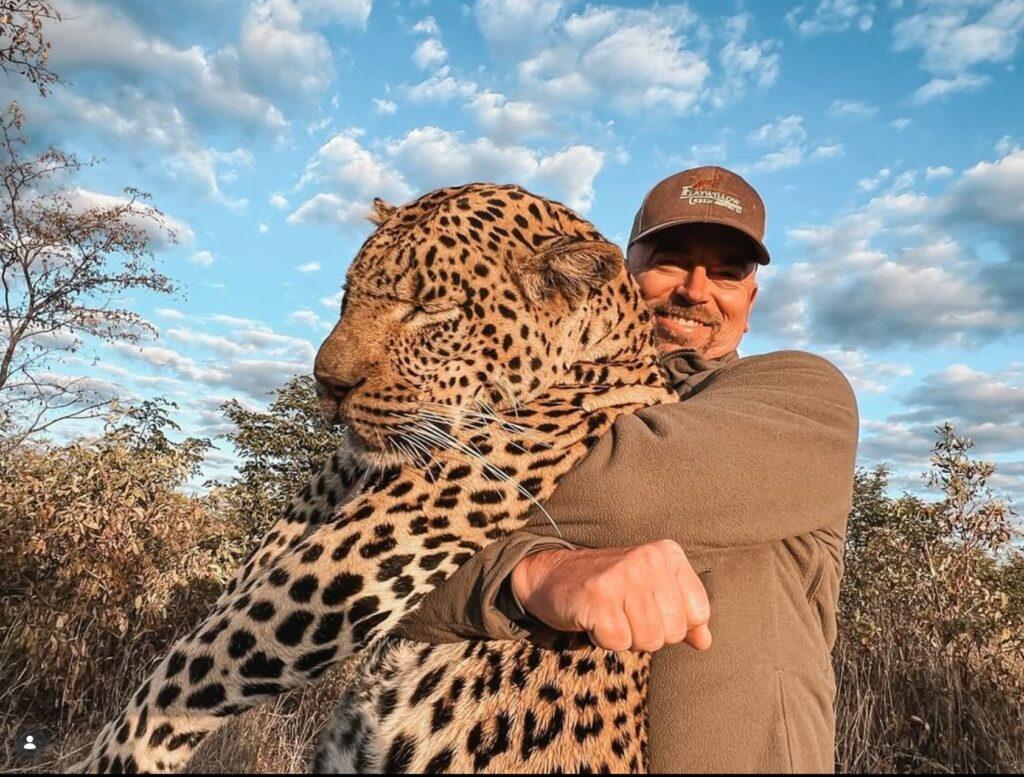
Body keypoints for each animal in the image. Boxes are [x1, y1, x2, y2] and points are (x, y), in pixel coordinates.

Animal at [71, 182, 677, 774]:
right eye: (347, 295)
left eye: (428, 309)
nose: (327, 383)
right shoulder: (324, 496)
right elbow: (229, 606)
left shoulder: (391, 531)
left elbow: (204, 656)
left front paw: (123, 755)